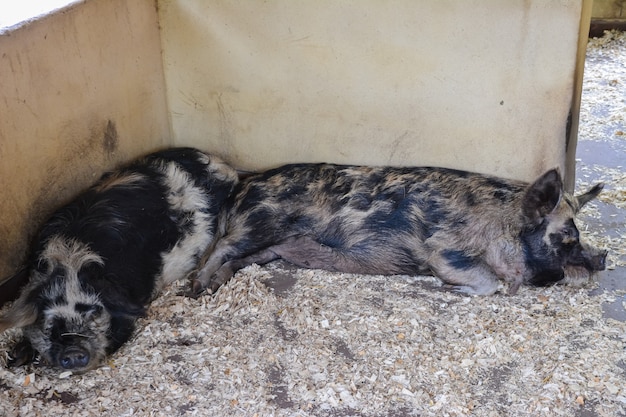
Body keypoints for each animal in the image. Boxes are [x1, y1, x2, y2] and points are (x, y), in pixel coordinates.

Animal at [0, 148, 238, 372]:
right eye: (49, 323)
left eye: (95, 310)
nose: (74, 352)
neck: (70, 260)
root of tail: (219, 164)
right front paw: (15, 357)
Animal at [189, 162, 604, 296]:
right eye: (567, 237)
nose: (602, 256)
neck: (502, 223)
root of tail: (245, 184)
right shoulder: (443, 248)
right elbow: (487, 282)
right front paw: (452, 291)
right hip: (260, 223)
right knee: (221, 247)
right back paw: (197, 288)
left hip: (274, 244)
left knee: (243, 258)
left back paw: (215, 284)